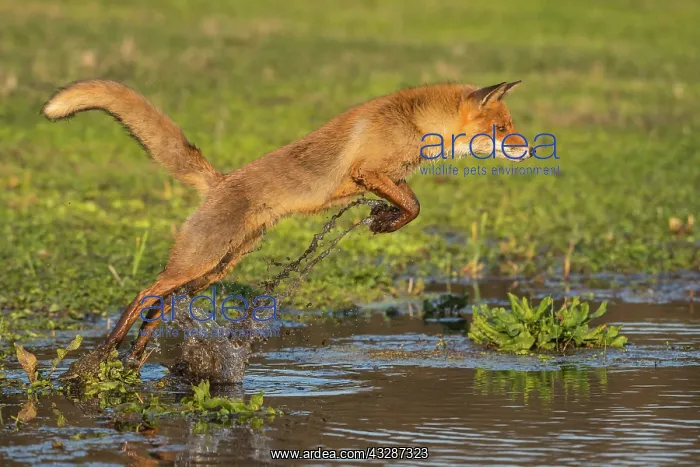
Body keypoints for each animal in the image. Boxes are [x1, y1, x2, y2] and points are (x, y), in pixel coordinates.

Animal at [42, 79, 532, 377]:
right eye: (502, 128)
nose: (528, 149)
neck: (416, 121)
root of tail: (219, 181)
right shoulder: (367, 171)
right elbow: (413, 206)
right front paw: (386, 221)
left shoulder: (386, 178)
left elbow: (411, 204)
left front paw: (384, 219)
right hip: (199, 260)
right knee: (146, 293)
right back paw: (104, 354)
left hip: (215, 268)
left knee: (161, 304)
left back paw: (135, 359)